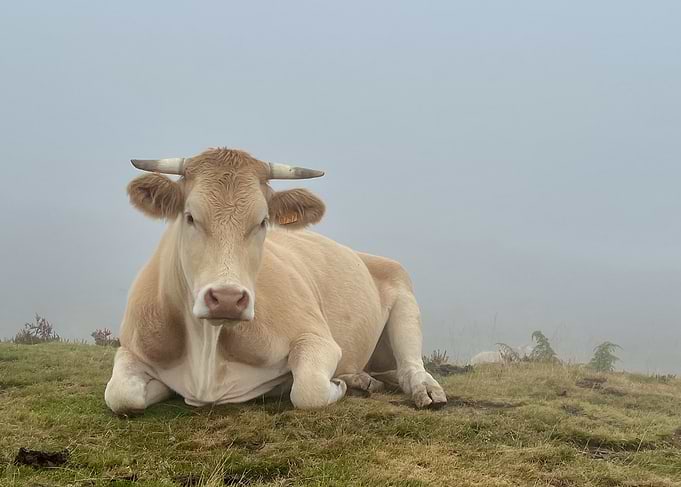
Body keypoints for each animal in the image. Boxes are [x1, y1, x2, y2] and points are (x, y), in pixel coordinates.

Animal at [105, 148, 447, 414]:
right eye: (189, 216)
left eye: (262, 221)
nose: (227, 298)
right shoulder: (132, 346)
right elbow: (120, 395)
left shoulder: (316, 336)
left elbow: (308, 389)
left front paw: (338, 384)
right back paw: (362, 378)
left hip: (403, 293)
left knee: (410, 365)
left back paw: (421, 389)